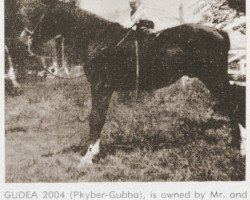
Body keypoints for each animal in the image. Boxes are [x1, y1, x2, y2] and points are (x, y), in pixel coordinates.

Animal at [21, 0, 244, 166]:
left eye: (44, 16)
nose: (27, 40)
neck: (100, 41)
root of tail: (220, 32)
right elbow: (98, 117)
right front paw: (94, 153)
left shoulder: (101, 87)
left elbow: (96, 118)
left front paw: (88, 157)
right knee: (230, 105)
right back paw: (235, 143)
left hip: (214, 78)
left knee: (233, 104)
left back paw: (241, 147)